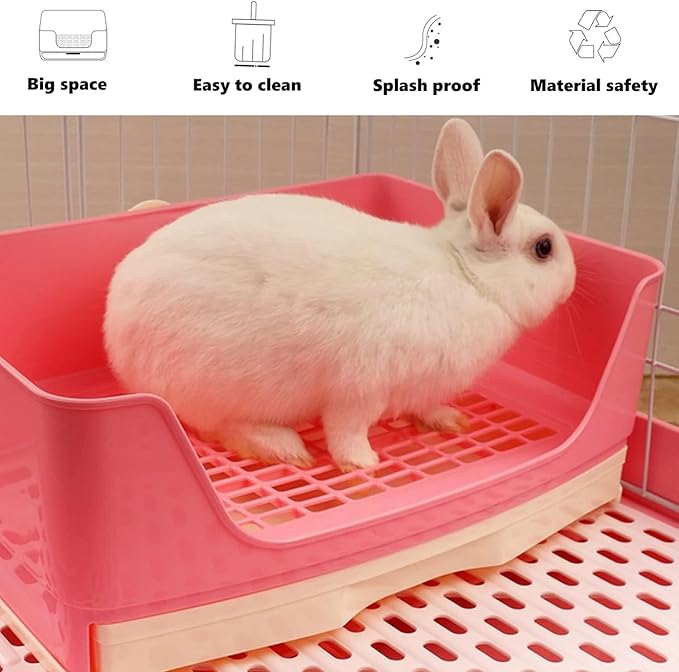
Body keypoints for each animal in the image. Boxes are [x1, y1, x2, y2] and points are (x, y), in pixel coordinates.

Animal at [103, 118, 576, 472]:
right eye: (544, 248)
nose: (573, 282)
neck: (466, 276)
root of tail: (114, 330)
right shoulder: (360, 388)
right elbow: (347, 431)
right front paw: (363, 463)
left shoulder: (421, 384)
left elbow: (426, 405)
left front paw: (449, 420)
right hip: (216, 386)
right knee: (221, 427)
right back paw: (286, 447)